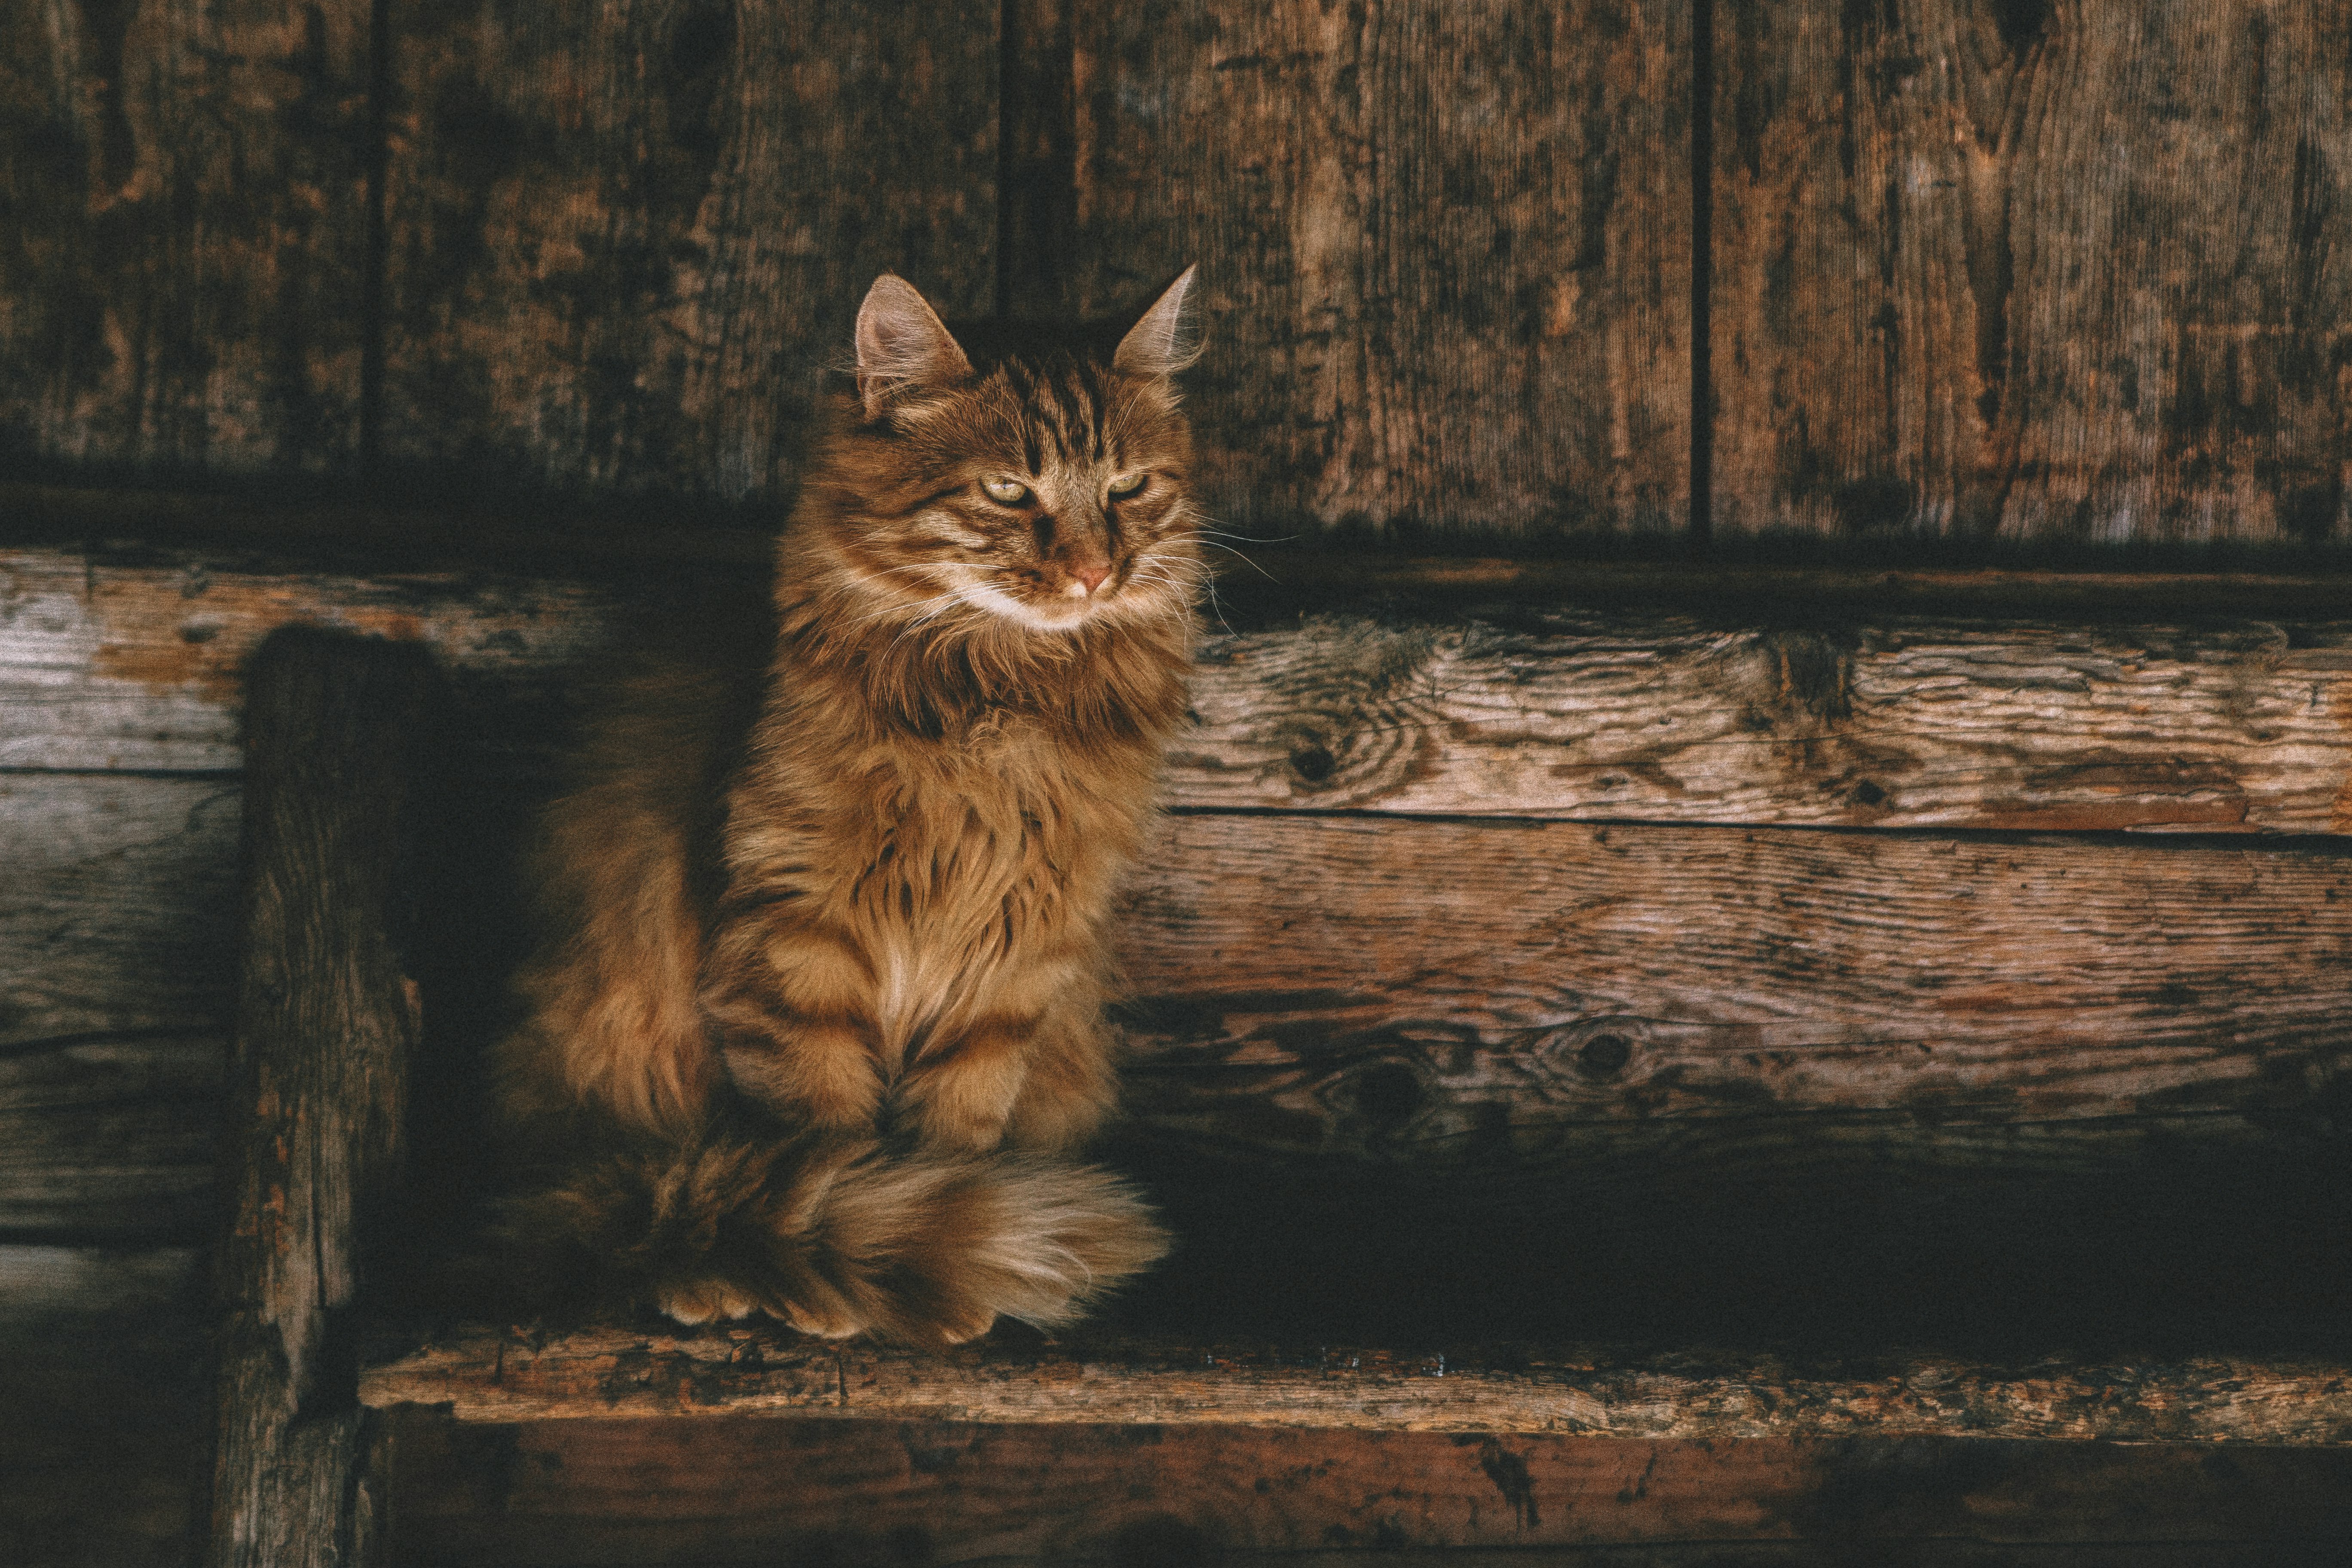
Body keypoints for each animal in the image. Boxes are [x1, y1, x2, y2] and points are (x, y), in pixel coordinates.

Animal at [487, 270, 1204, 1354]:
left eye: (1127, 489)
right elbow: (824, 1145)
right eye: (1007, 492)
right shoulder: (794, 944)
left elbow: (954, 1138)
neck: (1000, 699)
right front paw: (864, 1253)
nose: (1091, 571)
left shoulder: (1014, 965)